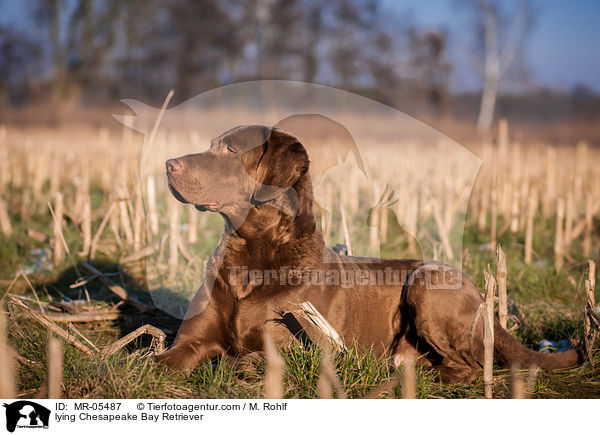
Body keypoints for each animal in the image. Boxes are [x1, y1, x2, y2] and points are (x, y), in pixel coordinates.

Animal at [158, 124, 580, 384]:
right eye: (211, 144)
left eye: (230, 150)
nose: (167, 163)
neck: (252, 252)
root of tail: (482, 298)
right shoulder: (190, 341)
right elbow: (160, 358)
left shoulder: (287, 351)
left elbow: (239, 360)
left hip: (428, 282)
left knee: (470, 366)